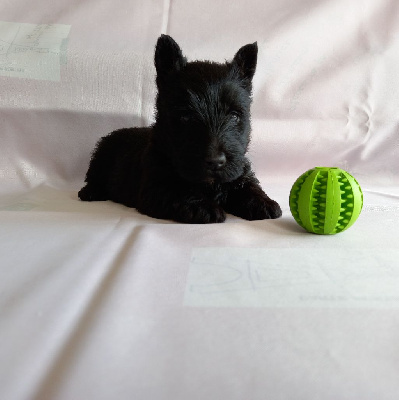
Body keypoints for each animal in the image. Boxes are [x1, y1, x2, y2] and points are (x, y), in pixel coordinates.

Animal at [79, 33, 282, 222]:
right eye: (185, 116)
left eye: (234, 115)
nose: (215, 161)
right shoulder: (155, 187)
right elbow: (178, 191)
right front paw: (203, 207)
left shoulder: (239, 170)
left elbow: (248, 184)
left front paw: (262, 202)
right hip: (100, 157)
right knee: (93, 177)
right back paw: (90, 192)